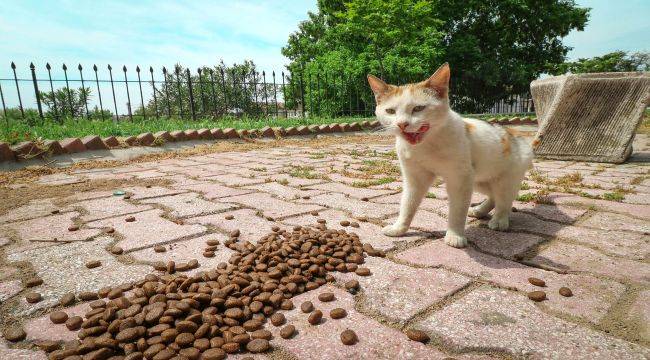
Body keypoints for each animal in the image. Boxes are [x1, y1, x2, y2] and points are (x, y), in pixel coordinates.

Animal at [370, 62, 532, 248]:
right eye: (390, 111)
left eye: (418, 108)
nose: (402, 124)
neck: (426, 145)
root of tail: (518, 138)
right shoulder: (414, 179)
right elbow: (407, 204)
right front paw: (399, 228)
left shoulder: (460, 179)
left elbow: (457, 210)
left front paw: (455, 235)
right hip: (479, 180)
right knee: (493, 196)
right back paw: (479, 210)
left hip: (503, 180)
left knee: (504, 200)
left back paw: (499, 220)